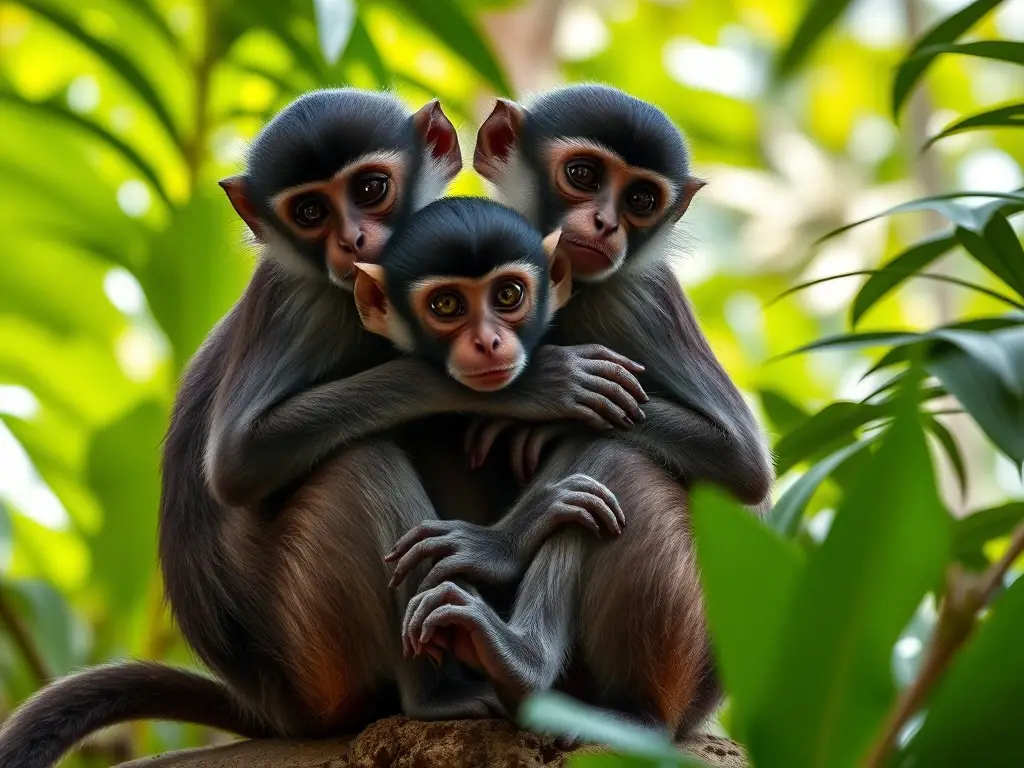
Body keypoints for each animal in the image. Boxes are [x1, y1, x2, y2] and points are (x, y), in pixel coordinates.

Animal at [0, 88, 650, 768]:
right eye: (311, 211)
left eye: (371, 188)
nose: (353, 238)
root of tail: (269, 704)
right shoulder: (304, 301)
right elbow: (239, 460)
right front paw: (544, 392)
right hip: (314, 656)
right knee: (359, 463)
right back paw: (442, 691)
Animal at [386, 84, 776, 739]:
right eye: (584, 175)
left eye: (641, 199)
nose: (606, 222)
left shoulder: (635, 296)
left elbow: (742, 465)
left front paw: (497, 528)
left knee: (621, 457)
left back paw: (536, 668)